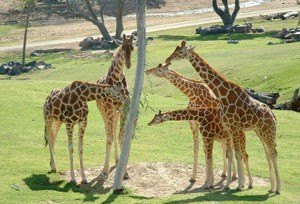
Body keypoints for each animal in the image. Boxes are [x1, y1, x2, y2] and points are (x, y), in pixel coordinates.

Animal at [96, 33, 134, 178]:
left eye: (132, 48)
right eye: (123, 48)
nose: (128, 64)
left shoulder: (124, 110)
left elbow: (121, 136)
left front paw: (125, 172)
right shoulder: (108, 110)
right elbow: (110, 138)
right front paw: (105, 171)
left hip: (115, 114)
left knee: (114, 130)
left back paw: (117, 161)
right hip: (104, 113)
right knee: (108, 132)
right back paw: (105, 169)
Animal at [165, 40, 280, 194]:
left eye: (181, 52)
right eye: (175, 49)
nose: (168, 59)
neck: (222, 94)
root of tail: (273, 115)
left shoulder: (234, 126)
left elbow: (235, 153)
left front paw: (238, 185)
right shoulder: (228, 127)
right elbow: (230, 153)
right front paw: (229, 184)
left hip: (268, 131)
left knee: (273, 152)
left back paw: (277, 188)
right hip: (260, 131)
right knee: (268, 153)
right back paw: (271, 188)